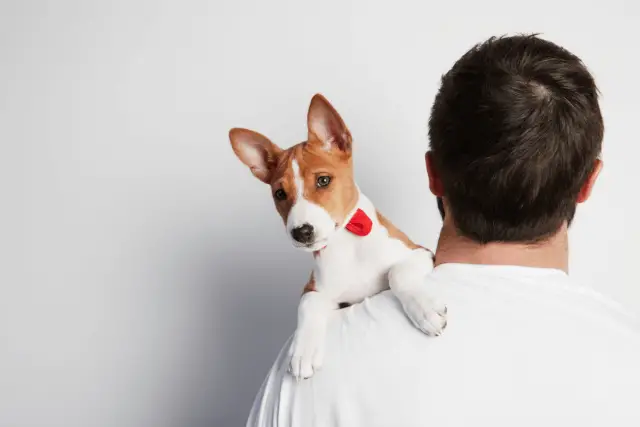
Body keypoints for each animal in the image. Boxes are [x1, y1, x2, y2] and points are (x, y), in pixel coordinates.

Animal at [229, 94, 444, 382]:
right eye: (279, 194)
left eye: (323, 180)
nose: (302, 232)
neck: (347, 243)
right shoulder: (318, 291)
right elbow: (307, 304)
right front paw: (304, 350)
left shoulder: (419, 252)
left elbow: (396, 273)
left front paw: (425, 310)